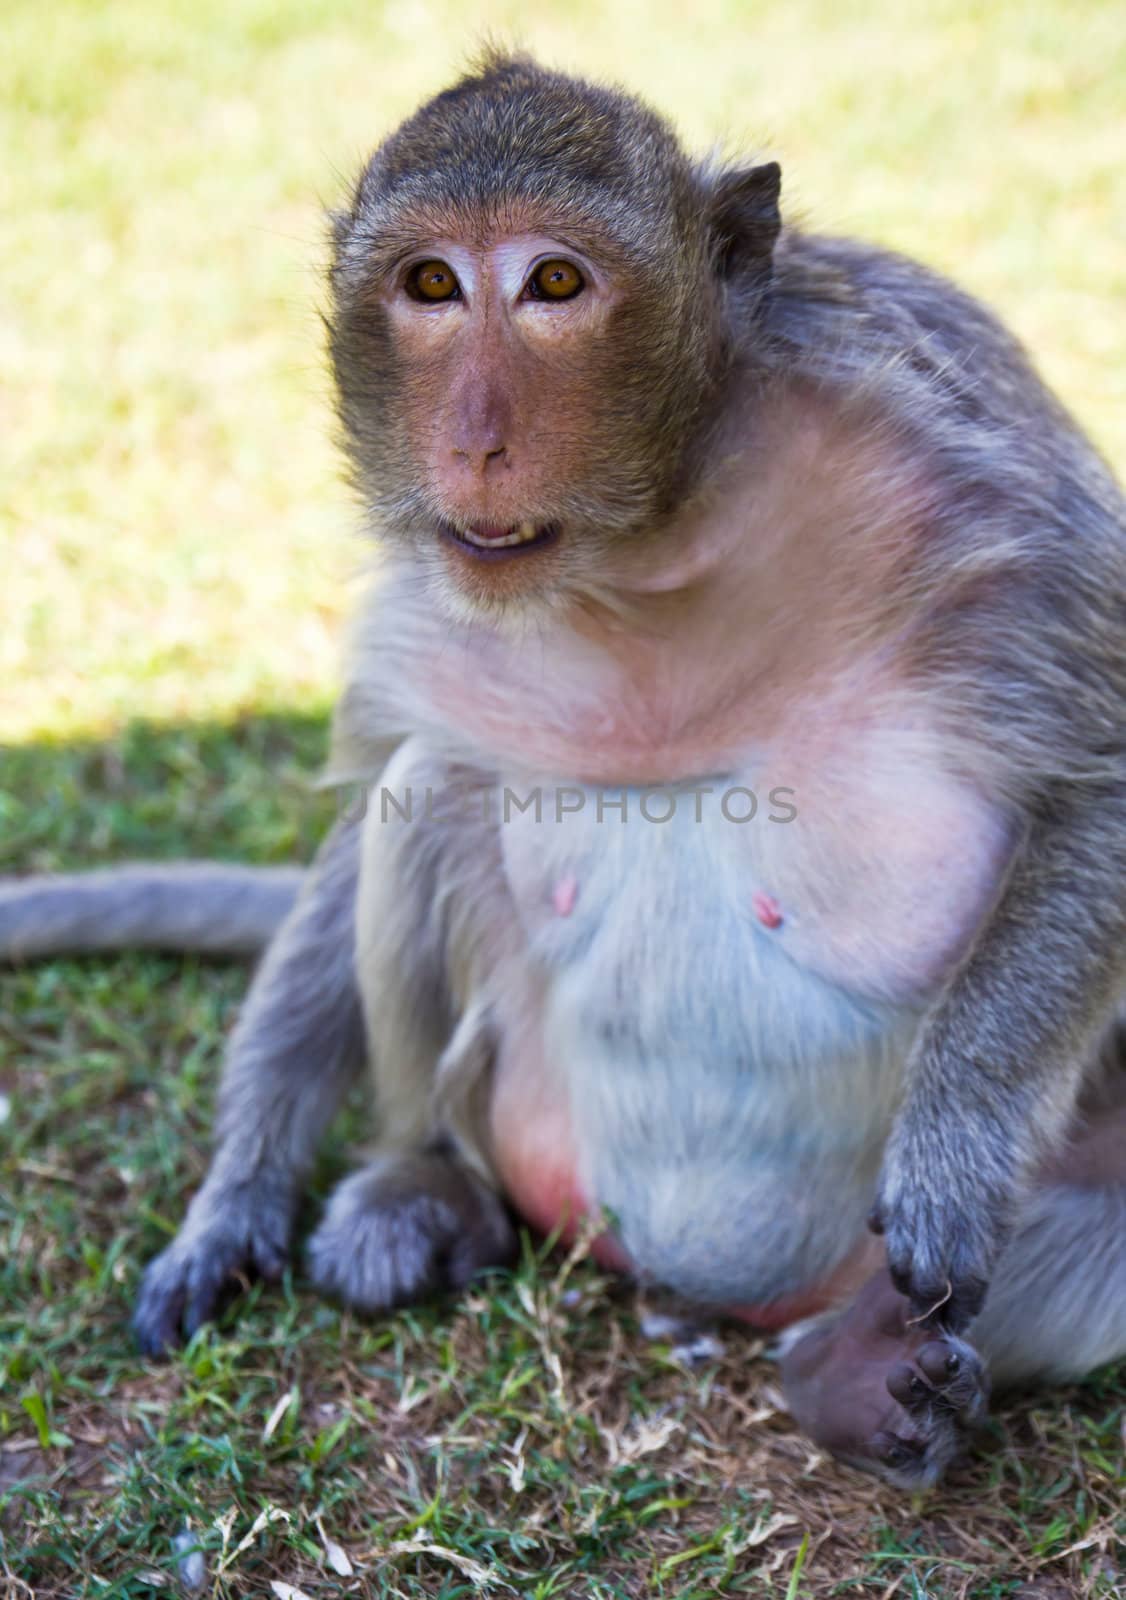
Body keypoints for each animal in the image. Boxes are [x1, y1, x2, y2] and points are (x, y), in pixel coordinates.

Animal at [4, 59, 1119, 1484]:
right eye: (430, 284)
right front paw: (231, 1203)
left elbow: (1097, 780)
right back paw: (431, 1191)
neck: (659, 526)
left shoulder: (967, 444)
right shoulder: (436, 572)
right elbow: (372, 792)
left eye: (553, 283)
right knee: (428, 786)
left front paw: (950, 1154)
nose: (474, 439)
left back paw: (857, 1368)